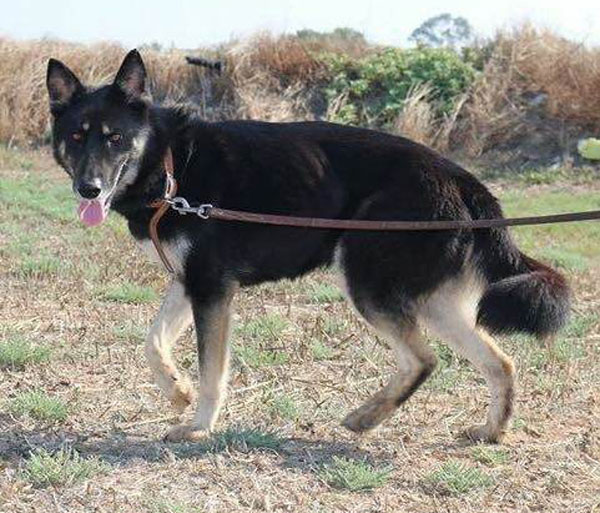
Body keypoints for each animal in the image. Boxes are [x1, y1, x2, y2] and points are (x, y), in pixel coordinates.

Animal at [47, 49, 572, 440]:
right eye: (76, 136)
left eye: (115, 138)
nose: (89, 189)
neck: (171, 163)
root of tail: (462, 180)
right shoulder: (189, 283)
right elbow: (152, 341)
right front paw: (177, 392)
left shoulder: (212, 290)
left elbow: (213, 370)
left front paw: (199, 425)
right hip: (432, 302)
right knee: (498, 361)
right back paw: (489, 430)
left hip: (369, 285)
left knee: (424, 359)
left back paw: (366, 417)